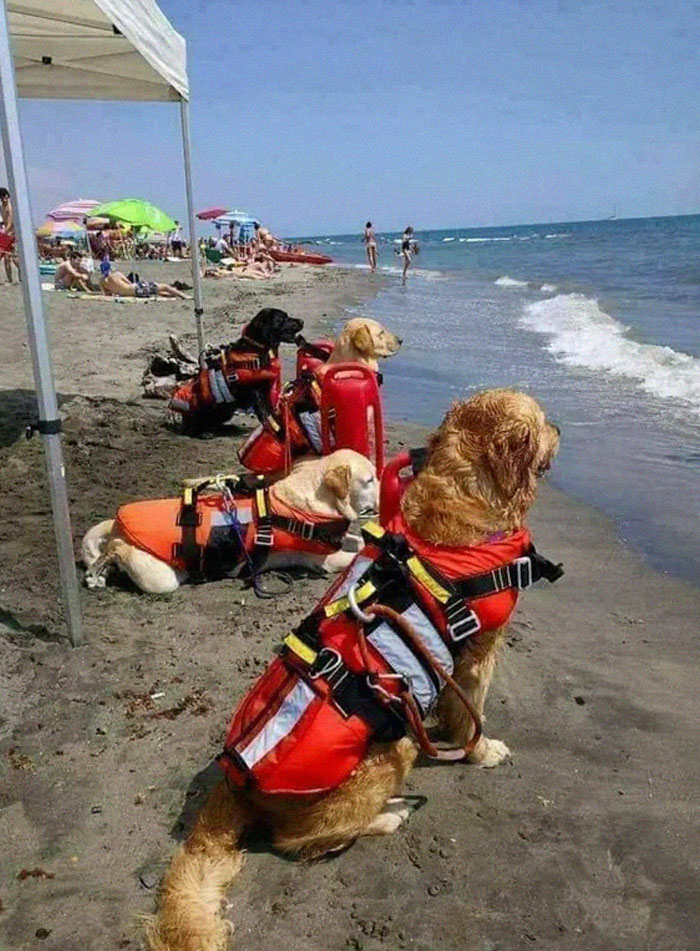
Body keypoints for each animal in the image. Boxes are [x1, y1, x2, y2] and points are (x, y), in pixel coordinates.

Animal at [81, 448, 378, 596]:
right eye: (369, 480)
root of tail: (117, 523)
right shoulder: (326, 559)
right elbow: (356, 553)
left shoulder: (341, 539)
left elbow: (358, 540)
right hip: (160, 578)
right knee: (116, 550)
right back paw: (99, 567)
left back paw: (101, 574)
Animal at [144, 388, 564, 951]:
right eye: (541, 420)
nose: (561, 428)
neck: (462, 496)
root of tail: (235, 783)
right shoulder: (478, 655)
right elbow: (472, 715)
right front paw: (482, 751)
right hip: (394, 748)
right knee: (301, 839)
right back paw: (389, 815)